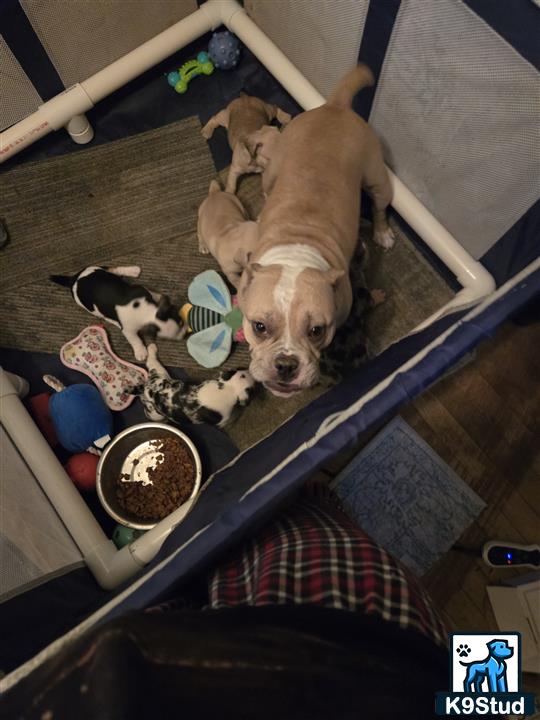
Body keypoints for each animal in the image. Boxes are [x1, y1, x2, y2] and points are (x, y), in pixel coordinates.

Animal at [51, 264, 186, 360]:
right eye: (173, 337)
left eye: (180, 322)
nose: (185, 334)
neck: (148, 312)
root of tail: (74, 279)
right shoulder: (128, 330)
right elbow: (135, 340)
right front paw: (141, 351)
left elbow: (152, 294)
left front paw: (158, 297)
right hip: (85, 303)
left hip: (97, 269)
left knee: (114, 269)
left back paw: (133, 270)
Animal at [238, 64, 394, 396]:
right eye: (259, 327)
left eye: (316, 331)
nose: (285, 364)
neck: (296, 248)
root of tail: (335, 106)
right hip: (273, 171)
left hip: (377, 178)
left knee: (379, 207)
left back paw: (383, 233)